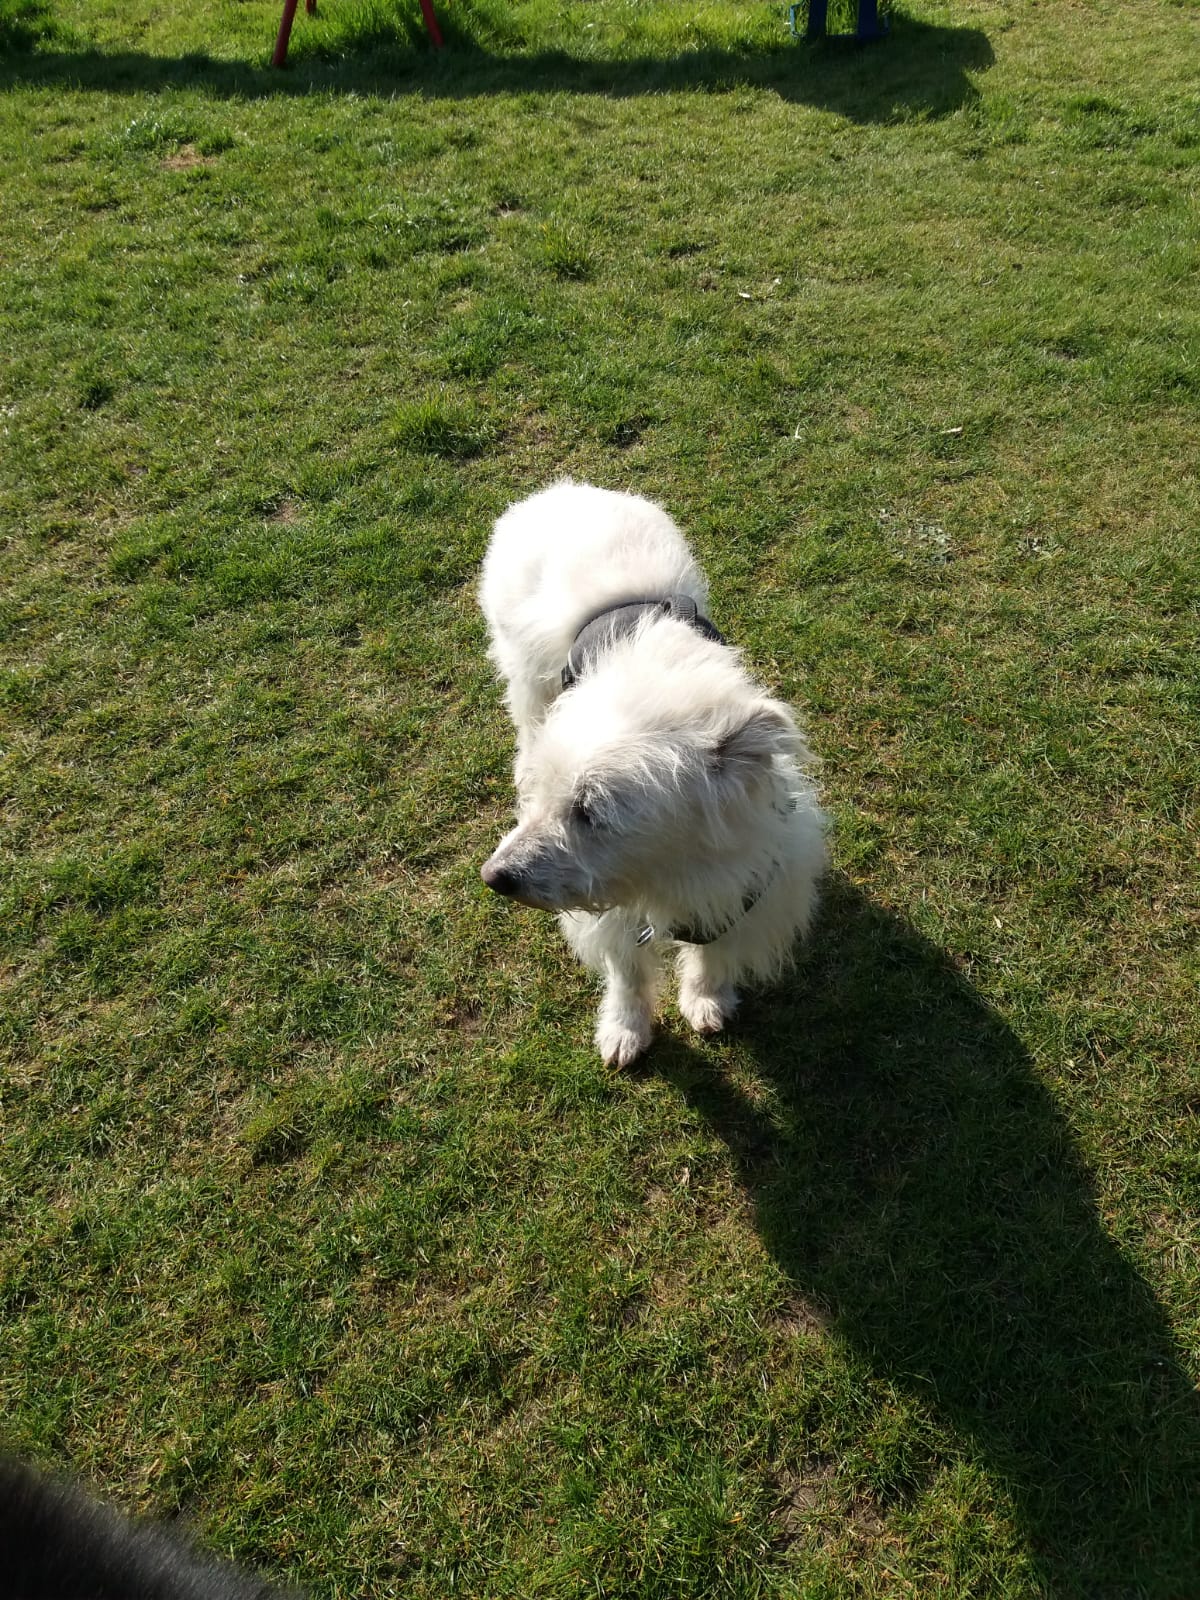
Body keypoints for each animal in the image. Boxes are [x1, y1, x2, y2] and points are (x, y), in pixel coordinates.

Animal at [479, 480, 827, 1066]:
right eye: (550, 799)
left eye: (590, 812)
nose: (494, 877)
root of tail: (560, 489)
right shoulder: (613, 911)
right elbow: (626, 972)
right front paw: (624, 1031)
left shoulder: (748, 889)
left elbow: (713, 957)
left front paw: (706, 1000)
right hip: (526, 675)